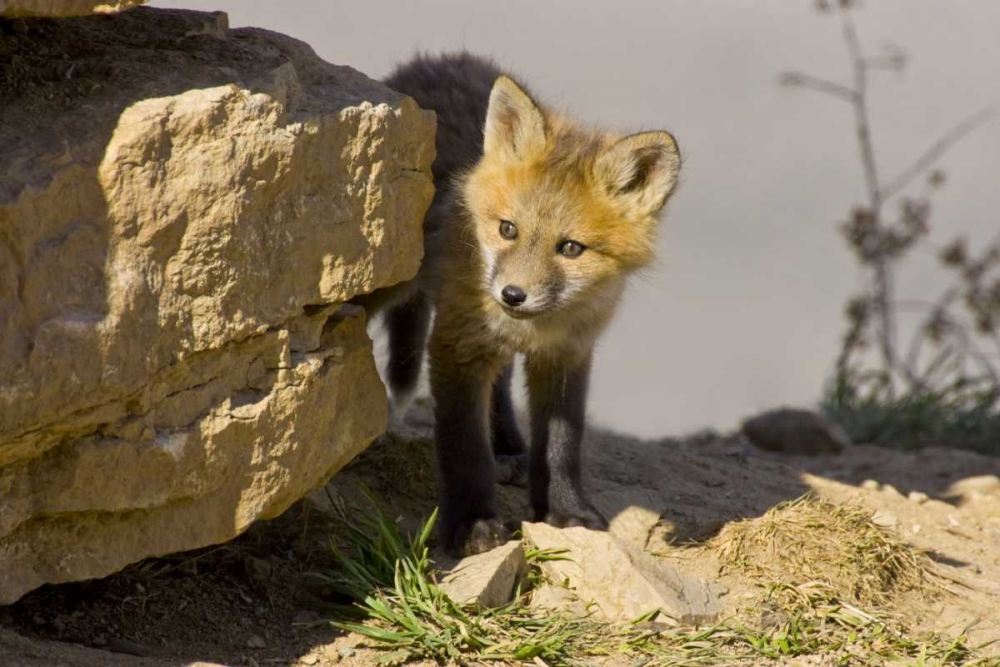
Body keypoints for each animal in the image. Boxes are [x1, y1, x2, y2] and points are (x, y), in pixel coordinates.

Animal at [360, 51, 680, 552]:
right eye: (507, 229)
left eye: (571, 248)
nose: (512, 295)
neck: (537, 326)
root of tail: (433, 60)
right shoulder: (456, 344)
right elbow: (464, 447)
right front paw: (472, 524)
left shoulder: (568, 354)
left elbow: (561, 442)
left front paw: (565, 510)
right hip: (386, 279)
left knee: (502, 379)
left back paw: (508, 444)